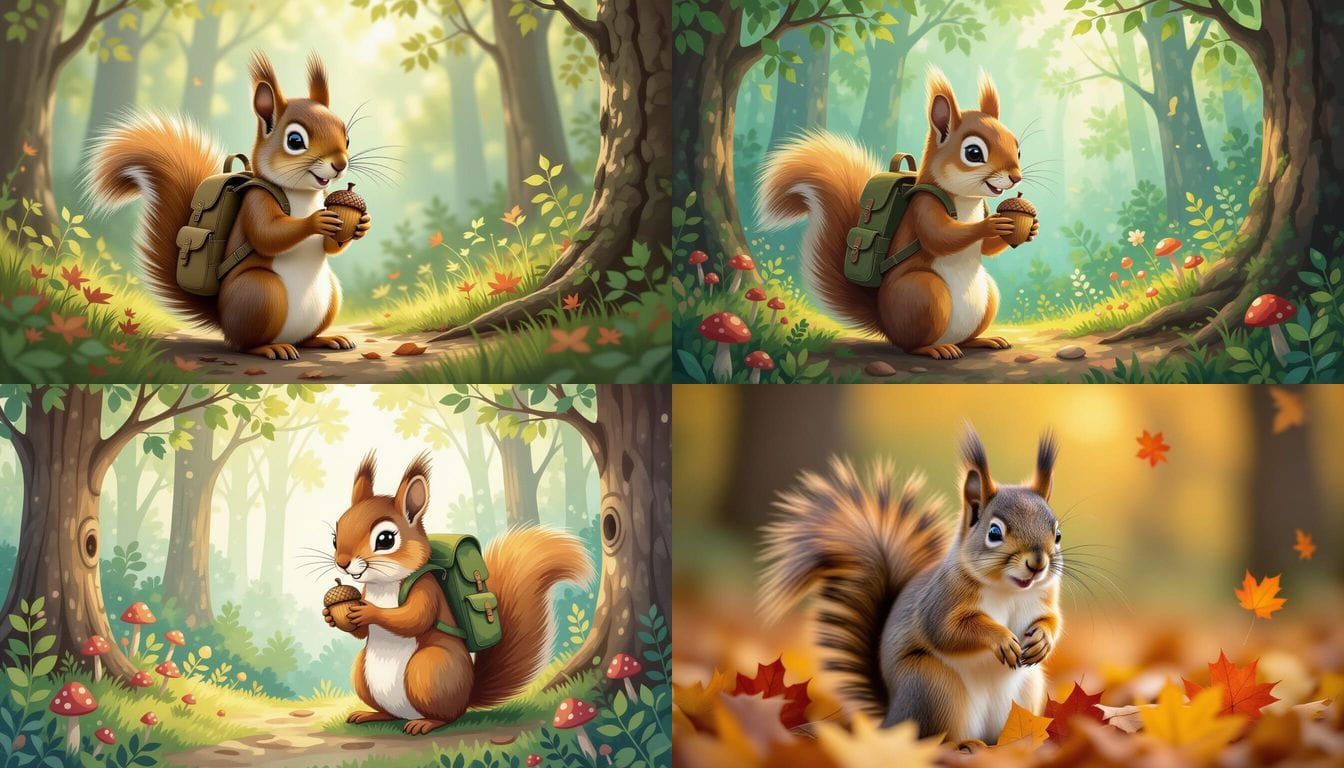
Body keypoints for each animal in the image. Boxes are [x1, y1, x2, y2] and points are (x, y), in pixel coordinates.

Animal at [87, 51, 371, 360]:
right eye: (295, 140)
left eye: (346, 137)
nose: (340, 164)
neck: (303, 193)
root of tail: (223, 321)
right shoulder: (256, 201)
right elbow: (267, 234)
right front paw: (315, 221)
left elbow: (330, 246)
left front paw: (361, 225)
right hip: (261, 292)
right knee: (246, 343)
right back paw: (271, 347)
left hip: (330, 294)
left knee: (305, 337)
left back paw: (325, 339)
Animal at [323, 452, 591, 735]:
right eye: (335, 537)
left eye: (385, 539)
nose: (342, 563)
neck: (382, 585)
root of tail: (468, 695)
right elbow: (363, 633)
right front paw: (331, 616)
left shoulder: (426, 587)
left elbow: (414, 618)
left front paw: (369, 612)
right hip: (362, 674)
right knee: (391, 713)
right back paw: (371, 714)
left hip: (430, 669)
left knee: (448, 715)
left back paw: (425, 723)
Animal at [757, 67, 1038, 360]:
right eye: (973, 153)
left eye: (1017, 148)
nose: (1016, 178)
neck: (967, 200)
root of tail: (885, 325)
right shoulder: (923, 205)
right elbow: (939, 236)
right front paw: (991, 226)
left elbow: (985, 249)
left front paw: (1030, 228)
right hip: (924, 294)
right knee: (911, 345)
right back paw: (935, 349)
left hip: (987, 296)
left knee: (965, 338)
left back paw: (983, 340)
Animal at [758, 429, 1063, 745]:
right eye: (994, 532)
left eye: (1057, 534)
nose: (1037, 563)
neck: (1010, 590)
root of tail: (892, 718)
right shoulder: (941, 601)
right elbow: (949, 631)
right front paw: (1000, 637)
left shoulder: (1043, 598)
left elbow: (1051, 620)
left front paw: (1043, 639)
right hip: (932, 686)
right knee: (932, 738)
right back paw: (964, 745)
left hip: (1028, 688)